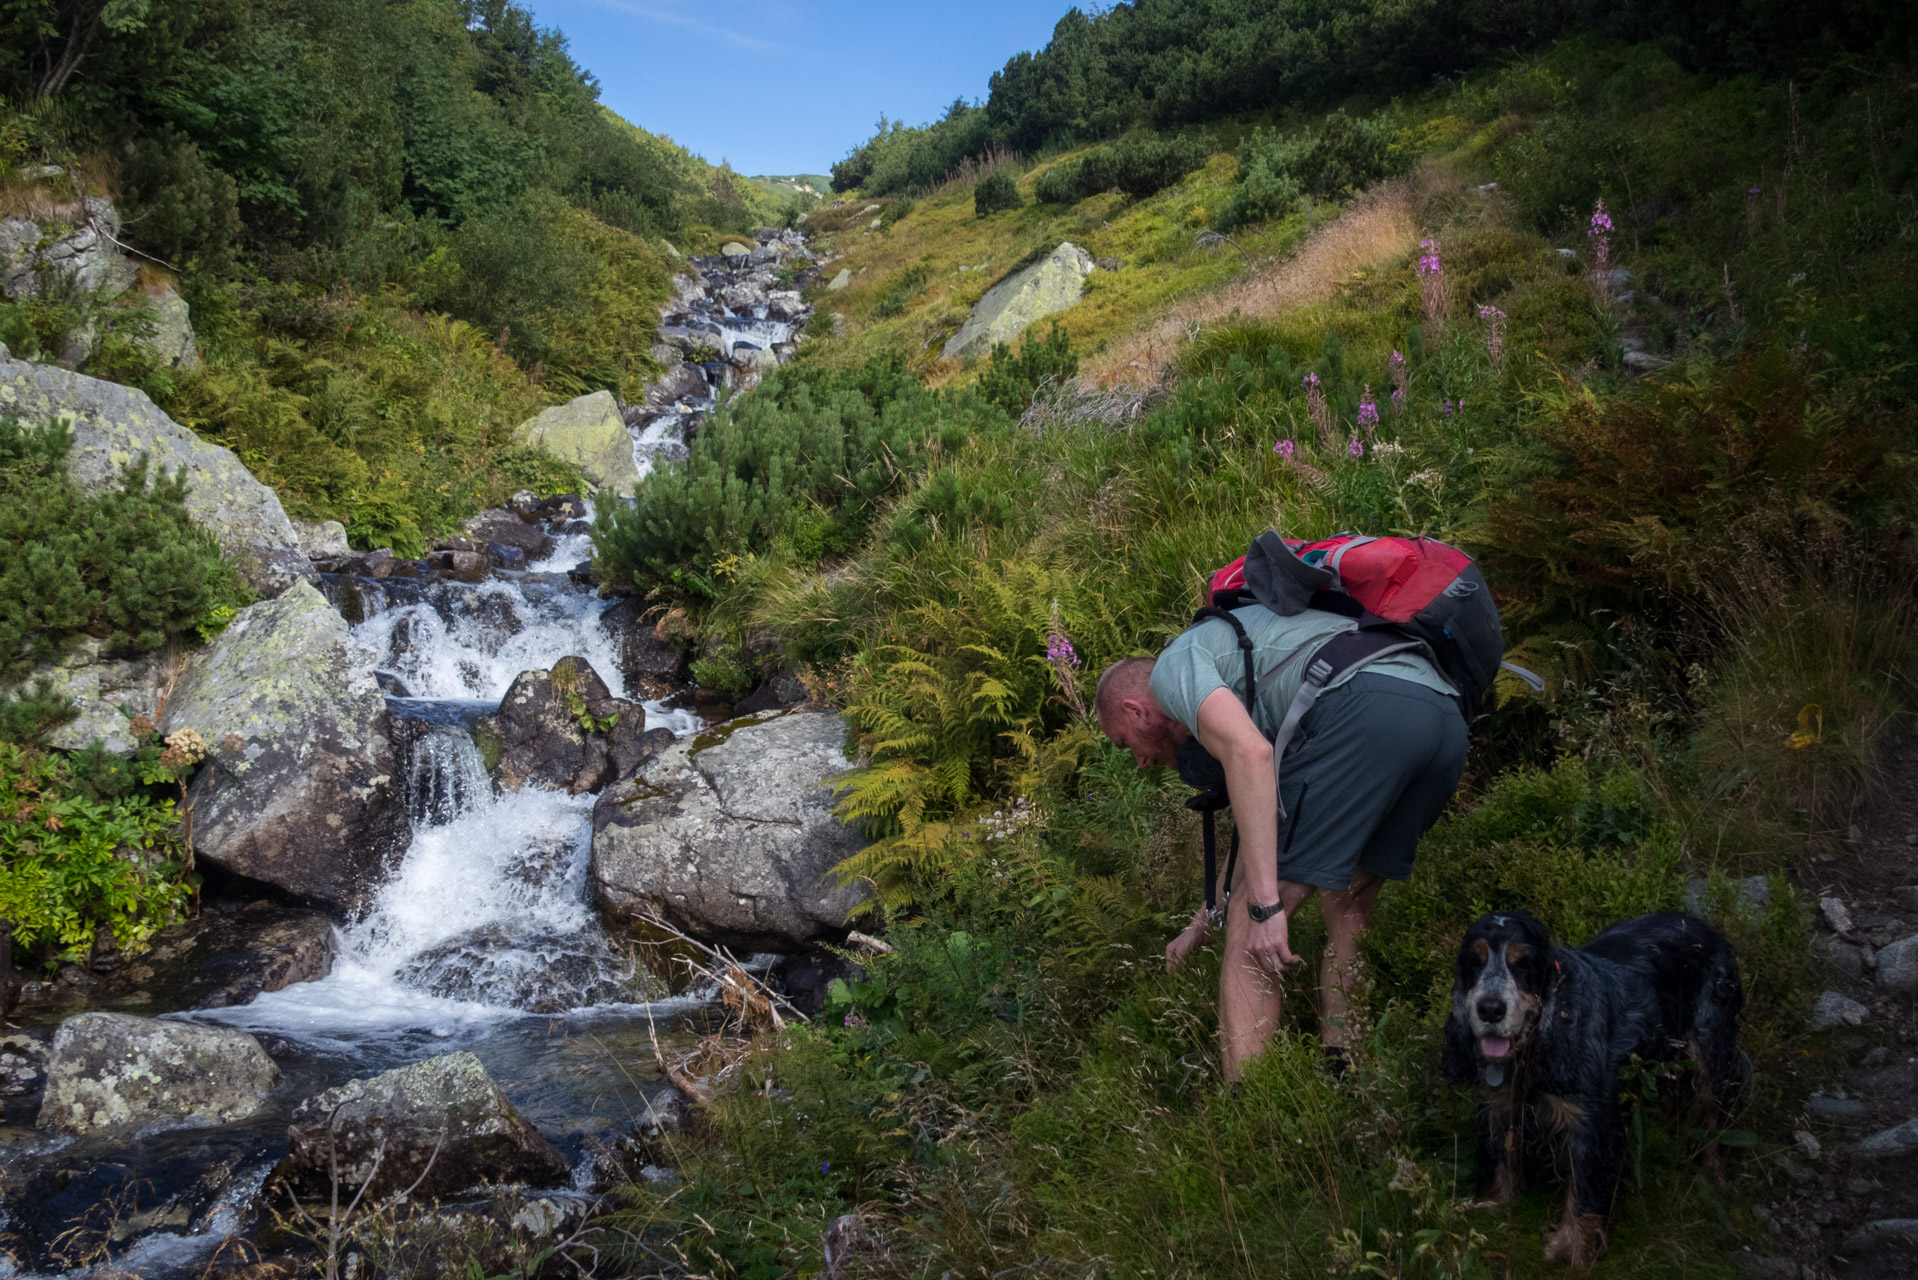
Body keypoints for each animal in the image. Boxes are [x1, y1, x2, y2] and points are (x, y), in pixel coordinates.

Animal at [1442, 909, 1749, 1274]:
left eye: (1524, 964)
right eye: (1473, 961)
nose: (1490, 1009)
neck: (1534, 1053)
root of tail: (1706, 928)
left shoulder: (1590, 1126)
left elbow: (1585, 1188)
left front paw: (1573, 1249)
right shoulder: (1499, 1108)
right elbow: (1498, 1161)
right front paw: (1494, 1210)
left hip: (1711, 1053)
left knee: (1719, 1118)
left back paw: (1717, 1180)